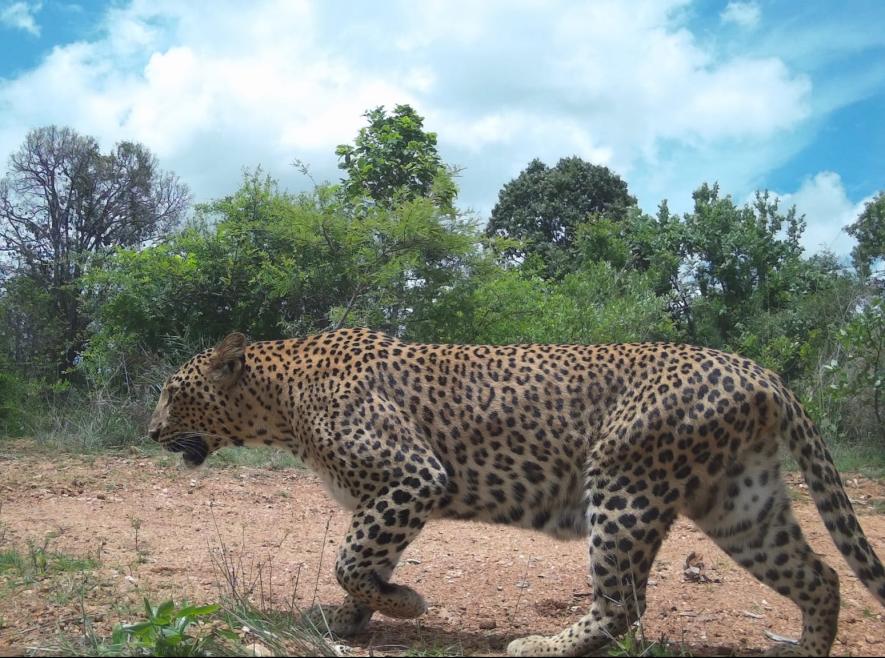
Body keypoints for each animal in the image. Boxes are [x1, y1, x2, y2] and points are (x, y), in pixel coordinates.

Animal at [148, 328, 885, 656]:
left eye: (173, 392)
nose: (150, 430)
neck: (280, 399)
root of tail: (761, 373)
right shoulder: (385, 495)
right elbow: (362, 564)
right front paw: (351, 622)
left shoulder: (411, 476)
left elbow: (350, 560)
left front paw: (404, 604)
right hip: (738, 504)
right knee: (819, 577)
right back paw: (803, 650)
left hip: (622, 485)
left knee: (624, 601)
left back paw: (540, 646)